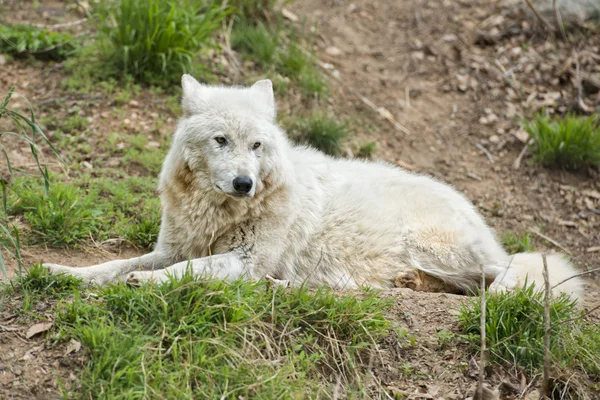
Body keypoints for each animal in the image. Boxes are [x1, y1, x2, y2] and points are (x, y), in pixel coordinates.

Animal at [44, 75, 584, 300]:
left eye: (257, 145)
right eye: (221, 140)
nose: (244, 183)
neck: (218, 213)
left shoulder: (246, 259)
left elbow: (191, 270)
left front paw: (147, 282)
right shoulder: (171, 246)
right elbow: (112, 265)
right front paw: (61, 273)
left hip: (433, 246)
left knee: (491, 281)